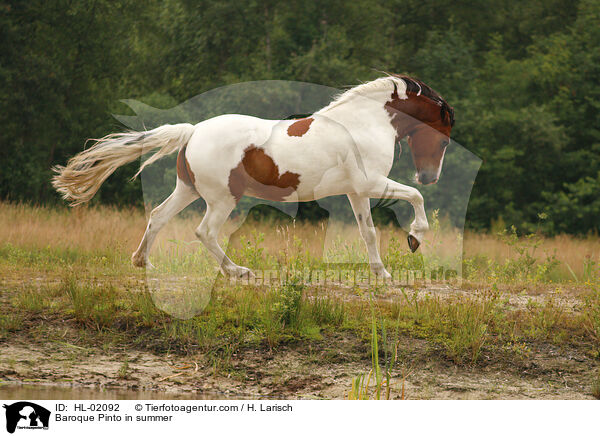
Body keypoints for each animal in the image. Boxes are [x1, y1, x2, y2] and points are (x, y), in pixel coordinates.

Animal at [52, 74, 454, 280]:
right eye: (445, 135)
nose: (429, 177)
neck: (363, 123)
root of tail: (192, 131)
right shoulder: (371, 185)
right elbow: (414, 199)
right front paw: (415, 239)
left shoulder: (357, 192)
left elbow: (368, 232)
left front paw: (381, 274)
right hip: (222, 198)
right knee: (204, 232)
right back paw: (237, 271)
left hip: (188, 190)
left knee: (158, 217)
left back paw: (143, 263)